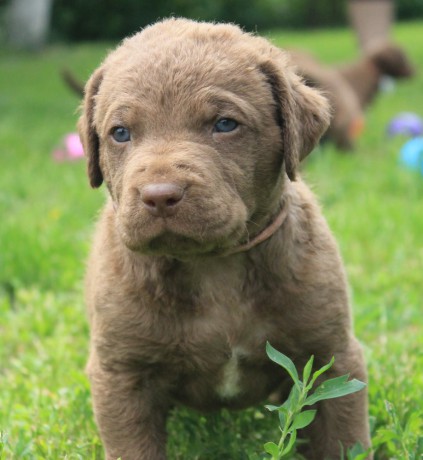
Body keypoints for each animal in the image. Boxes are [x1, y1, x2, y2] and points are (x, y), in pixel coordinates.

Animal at [78, 18, 372, 460]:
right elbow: (135, 445)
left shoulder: (332, 356)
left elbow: (342, 437)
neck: (213, 266)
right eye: (120, 133)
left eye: (224, 124)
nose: (159, 195)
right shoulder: (122, 373)